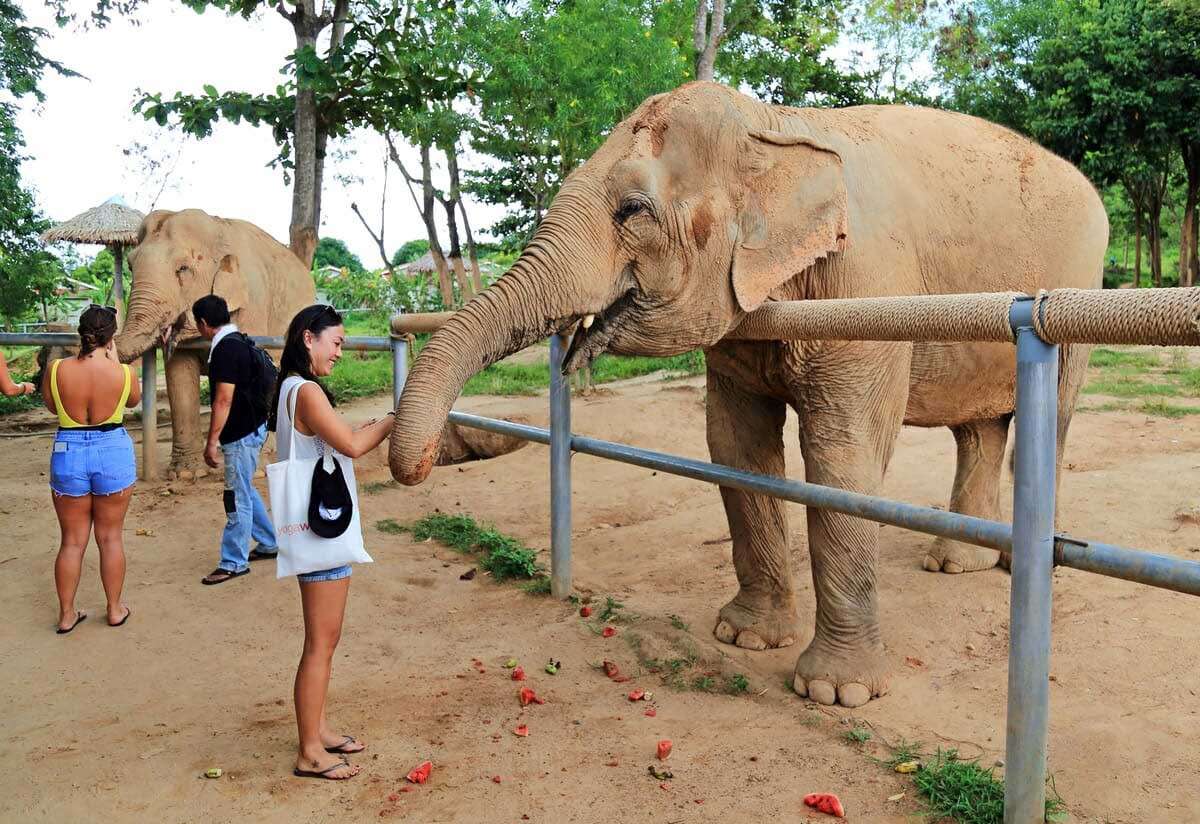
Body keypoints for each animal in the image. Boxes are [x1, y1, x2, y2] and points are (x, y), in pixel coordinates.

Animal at [388, 81, 1107, 708]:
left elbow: (841, 454)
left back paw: (1013, 565)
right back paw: (957, 564)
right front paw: (743, 637)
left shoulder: (865, 286)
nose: (418, 466)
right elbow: (734, 446)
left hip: (1075, 292)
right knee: (978, 428)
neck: (777, 124)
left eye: (632, 210)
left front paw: (834, 693)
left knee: (1050, 417)